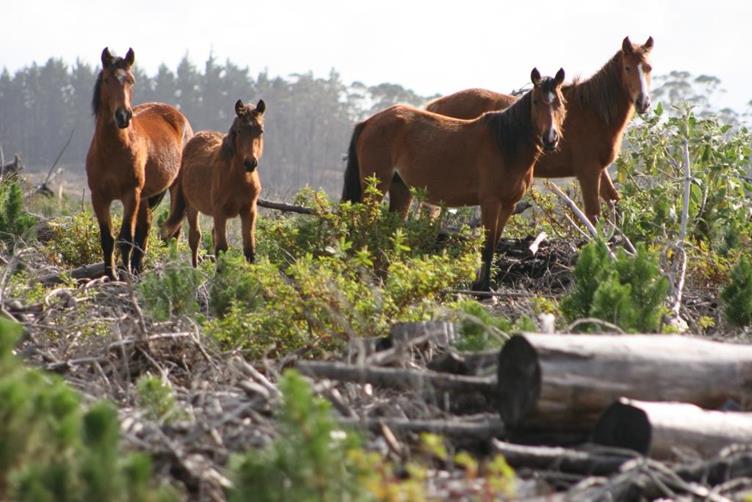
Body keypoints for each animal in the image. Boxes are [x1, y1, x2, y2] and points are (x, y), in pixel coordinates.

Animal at [84, 47, 194, 278]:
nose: (123, 116)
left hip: (173, 188)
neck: (112, 151)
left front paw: (123, 274)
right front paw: (111, 274)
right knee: (146, 227)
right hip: (146, 196)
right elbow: (107, 239)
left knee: (174, 230)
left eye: (131, 80)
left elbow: (126, 237)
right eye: (106, 79)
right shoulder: (99, 197)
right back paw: (138, 267)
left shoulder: (131, 194)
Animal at [159, 99, 264, 268]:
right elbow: (221, 248)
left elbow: (249, 250)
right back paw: (194, 269)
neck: (237, 179)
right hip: (191, 206)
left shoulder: (249, 211)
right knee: (195, 238)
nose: (250, 163)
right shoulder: (219, 211)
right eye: (239, 131)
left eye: (260, 131)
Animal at [340, 66, 564, 290]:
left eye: (559, 102)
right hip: (375, 187)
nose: (550, 139)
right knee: (364, 228)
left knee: (390, 231)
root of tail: (369, 121)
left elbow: (493, 244)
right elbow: (487, 247)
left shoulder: (509, 205)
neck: (505, 145)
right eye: (536, 101)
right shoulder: (490, 202)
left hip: (400, 189)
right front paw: (483, 290)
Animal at [426, 35, 656, 222]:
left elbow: (616, 203)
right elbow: (593, 214)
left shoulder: (600, 169)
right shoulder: (587, 170)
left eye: (648, 68)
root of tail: (434, 106)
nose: (643, 103)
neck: (593, 110)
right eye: (627, 67)